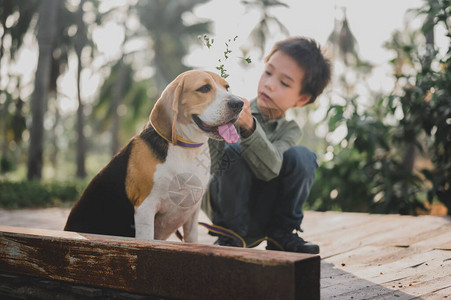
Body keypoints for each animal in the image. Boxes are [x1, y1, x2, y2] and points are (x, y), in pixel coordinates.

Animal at [64, 71, 244, 244]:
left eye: (227, 87)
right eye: (204, 88)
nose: (239, 103)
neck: (185, 149)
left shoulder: (192, 213)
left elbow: (192, 241)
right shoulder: (145, 207)